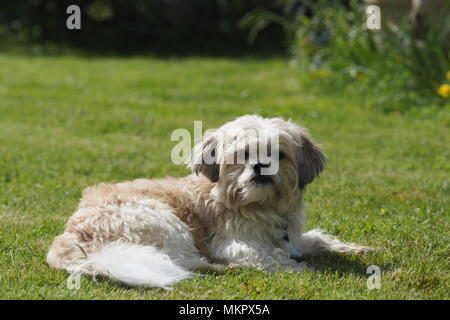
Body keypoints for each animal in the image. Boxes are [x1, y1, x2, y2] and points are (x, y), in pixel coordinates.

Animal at [47, 115, 370, 288]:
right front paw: (298, 268)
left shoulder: (294, 237)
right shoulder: (235, 244)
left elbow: (316, 240)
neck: (262, 207)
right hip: (167, 222)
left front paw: (352, 248)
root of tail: (71, 236)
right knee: (189, 261)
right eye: (244, 155)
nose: (261, 165)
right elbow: (270, 256)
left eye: (280, 154)